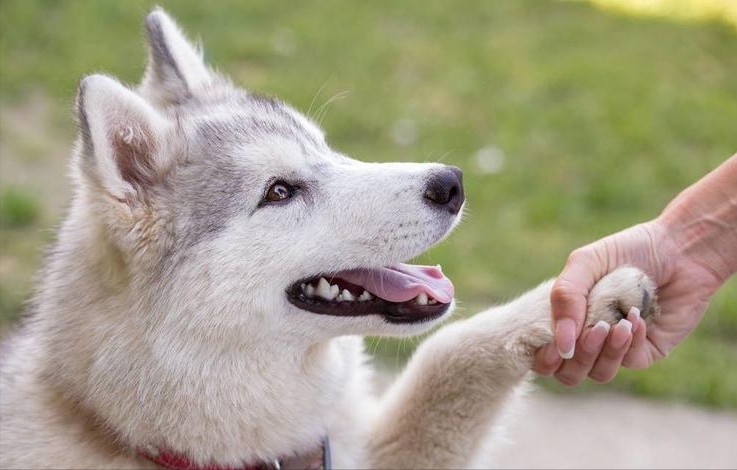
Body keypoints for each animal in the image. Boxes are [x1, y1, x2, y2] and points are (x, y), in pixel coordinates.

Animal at [0, 8, 656, 470]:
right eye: (280, 191)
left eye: (326, 147)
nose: (452, 183)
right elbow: (444, 350)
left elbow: (450, 348)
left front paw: (583, 295)